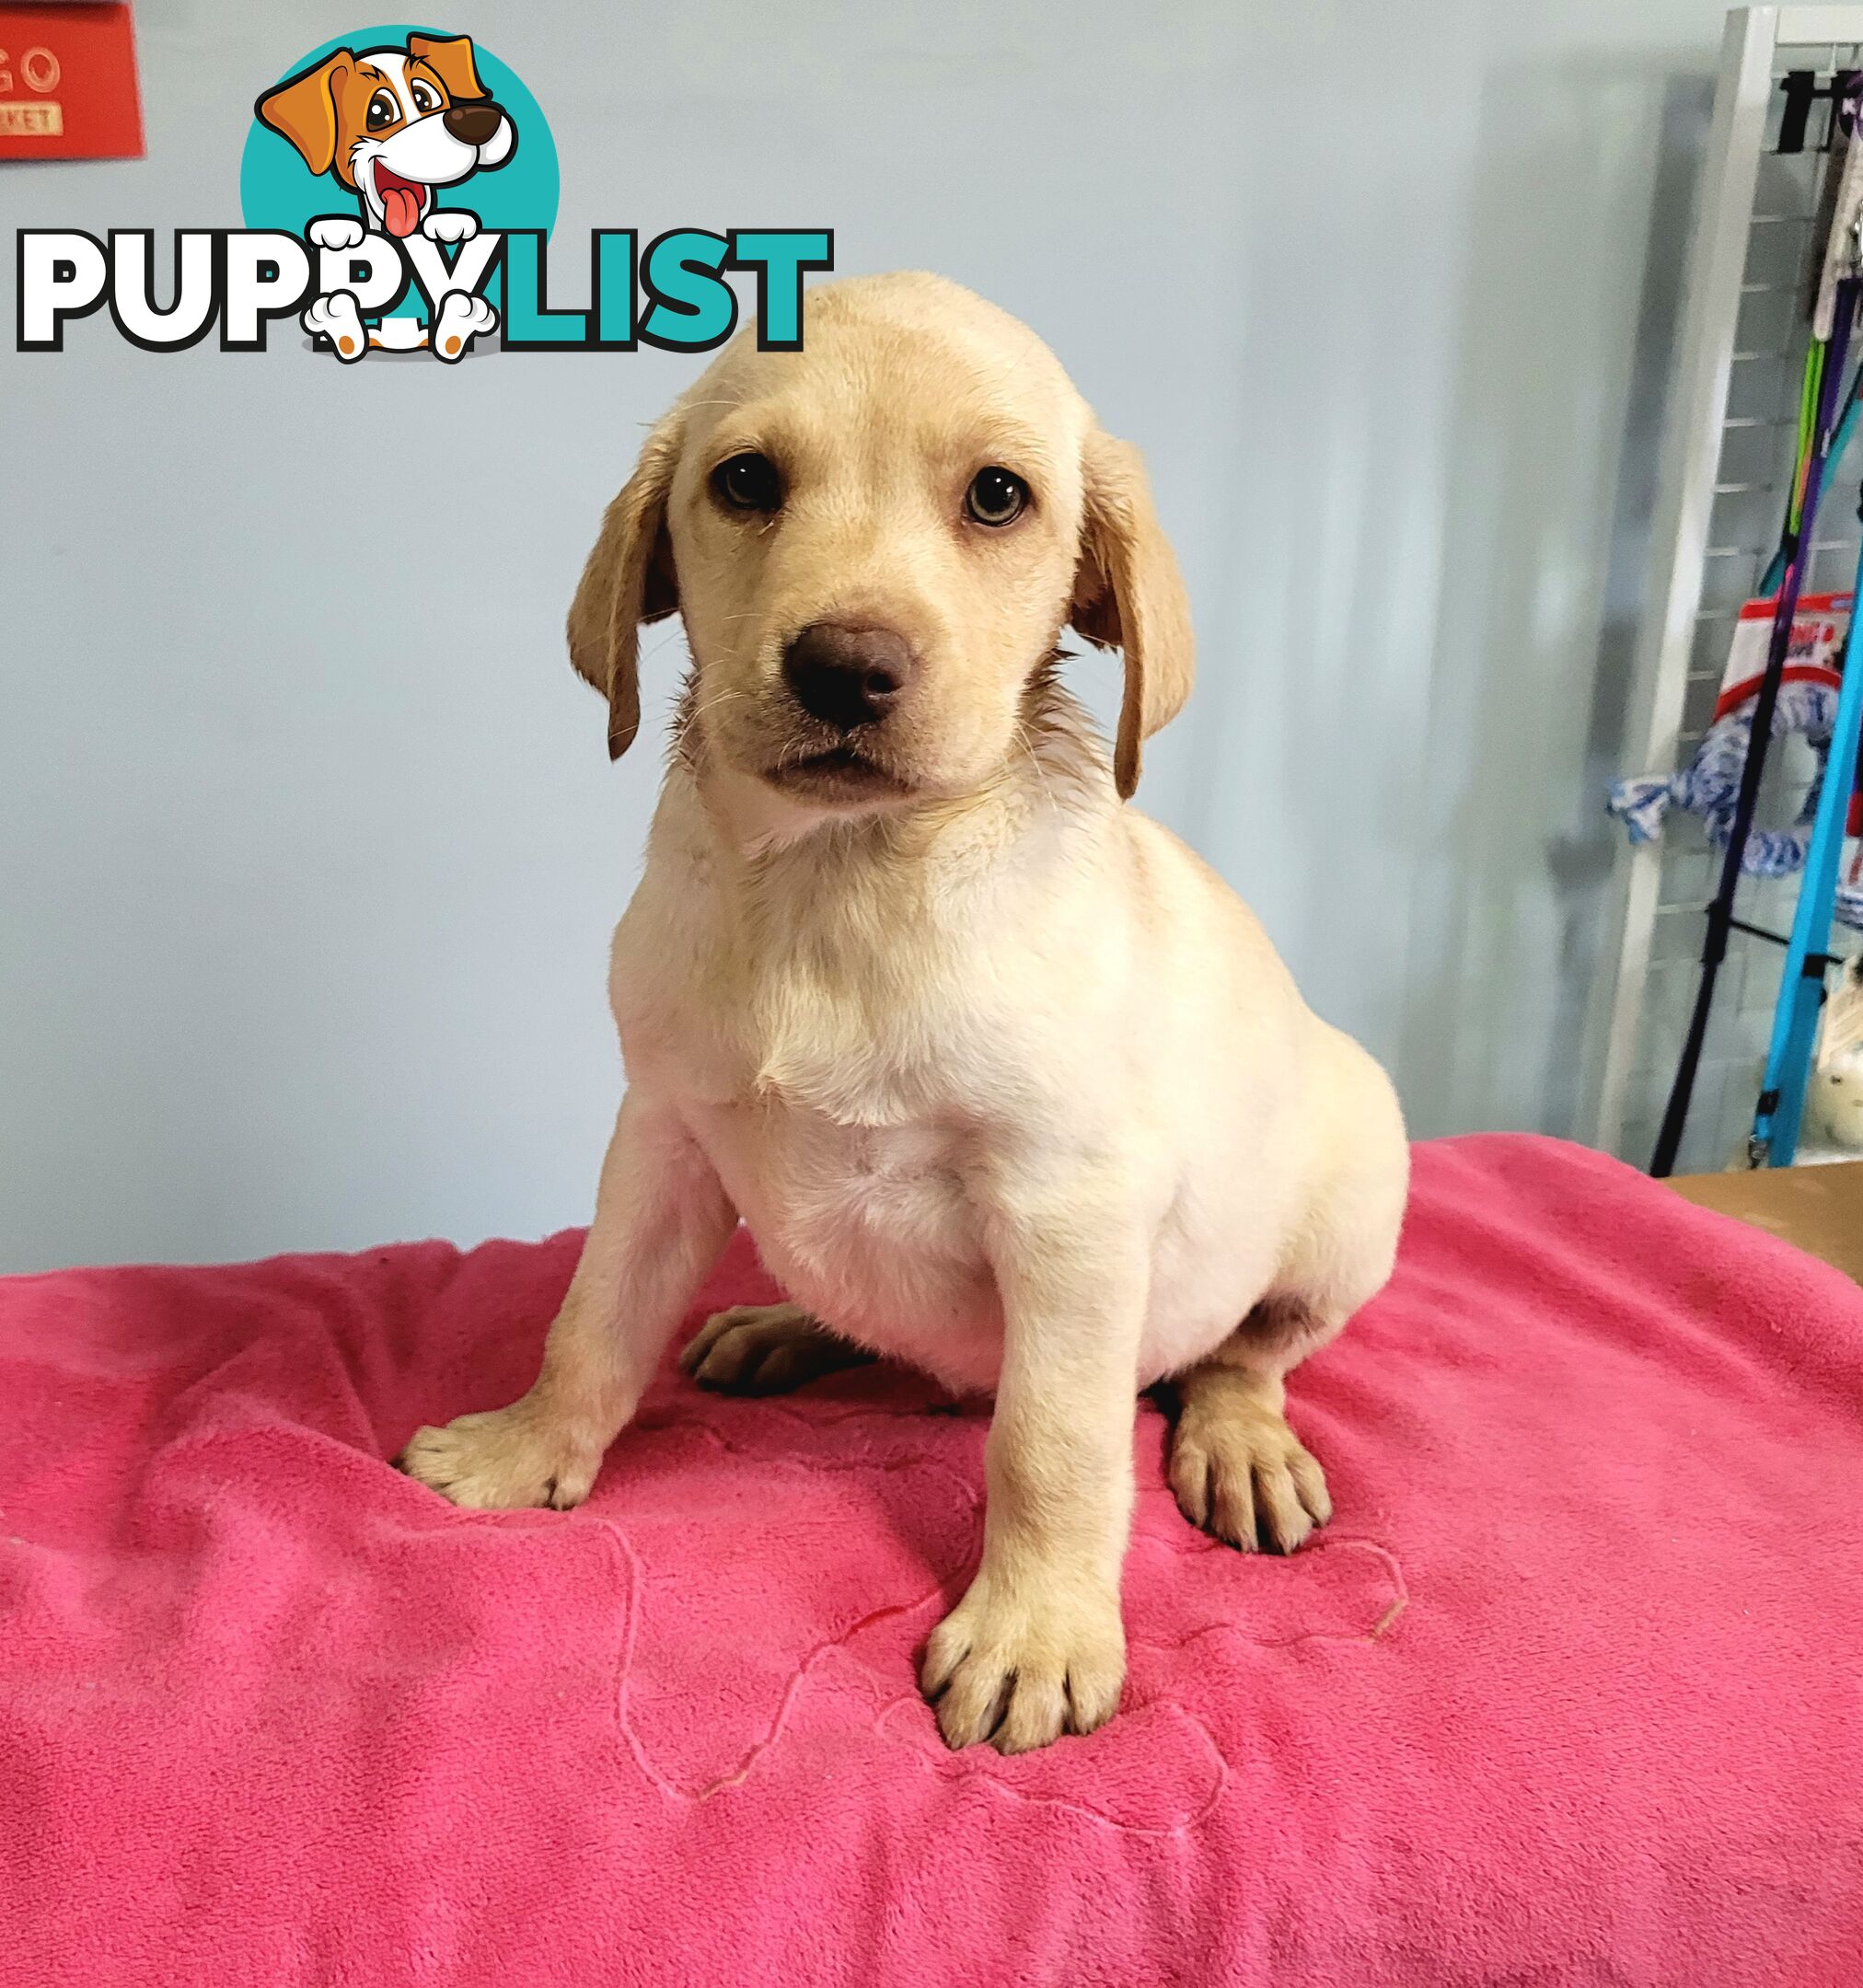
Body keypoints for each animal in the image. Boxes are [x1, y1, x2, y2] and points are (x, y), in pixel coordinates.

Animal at [399, 268, 1399, 1757]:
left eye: (997, 497)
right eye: (745, 482)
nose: (845, 668)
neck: (837, 880)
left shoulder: (1069, 1209)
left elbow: (1050, 1445)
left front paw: (1035, 1631)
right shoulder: (661, 1133)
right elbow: (593, 1320)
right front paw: (526, 1453)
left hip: (1352, 1184)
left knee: (1245, 1351)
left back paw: (1239, 1440)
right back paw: (785, 1324)